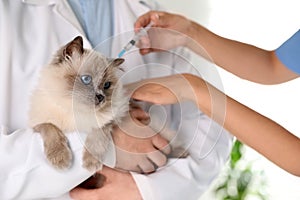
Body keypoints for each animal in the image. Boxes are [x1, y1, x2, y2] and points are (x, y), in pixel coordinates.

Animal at [27, 35, 127, 170]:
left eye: (107, 85)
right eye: (86, 79)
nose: (101, 97)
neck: (74, 108)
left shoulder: (109, 121)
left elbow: (96, 137)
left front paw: (91, 163)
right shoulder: (39, 124)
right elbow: (51, 129)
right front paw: (60, 159)